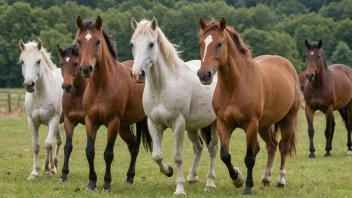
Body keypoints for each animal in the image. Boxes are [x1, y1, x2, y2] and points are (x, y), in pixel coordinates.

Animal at [19, 39, 64, 180]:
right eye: (22, 62)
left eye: (38, 61)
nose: (29, 84)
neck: (40, 94)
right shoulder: (32, 122)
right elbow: (36, 146)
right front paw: (34, 173)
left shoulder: (53, 120)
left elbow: (48, 144)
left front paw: (48, 170)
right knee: (58, 140)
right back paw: (50, 167)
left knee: (56, 142)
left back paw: (52, 167)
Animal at [75, 16, 152, 193]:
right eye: (79, 41)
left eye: (97, 41)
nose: (86, 68)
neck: (101, 86)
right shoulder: (91, 121)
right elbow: (90, 152)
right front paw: (91, 183)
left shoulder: (113, 122)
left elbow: (108, 154)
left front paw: (106, 184)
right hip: (124, 127)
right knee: (133, 146)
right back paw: (129, 178)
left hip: (132, 123)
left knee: (135, 147)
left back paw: (130, 178)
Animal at [129, 17, 217, 195]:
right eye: (132, 44)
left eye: (151, 44)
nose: (137, 74)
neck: (162, 87)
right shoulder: (154, 124)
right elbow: (157, 155)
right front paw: (168, 170)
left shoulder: (178, 124)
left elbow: (178, 156)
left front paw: (179, 189)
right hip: (193, 127)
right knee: (198, 147)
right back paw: (192, 177)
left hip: (215, 124)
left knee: (212, 149)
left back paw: (210, 183)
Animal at [197, 17, 298, 195]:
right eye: (200, 44)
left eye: (220, 44)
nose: (204, 75)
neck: (235, 86)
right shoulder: (224, 125)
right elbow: (225, 155)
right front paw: (237, 178)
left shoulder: (251, 125)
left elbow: (250, 157)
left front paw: (248, 188)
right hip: (264, 126)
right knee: (271, 146)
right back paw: (265, 179)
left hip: (288, 120)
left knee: (283, 147)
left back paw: (280, 180)